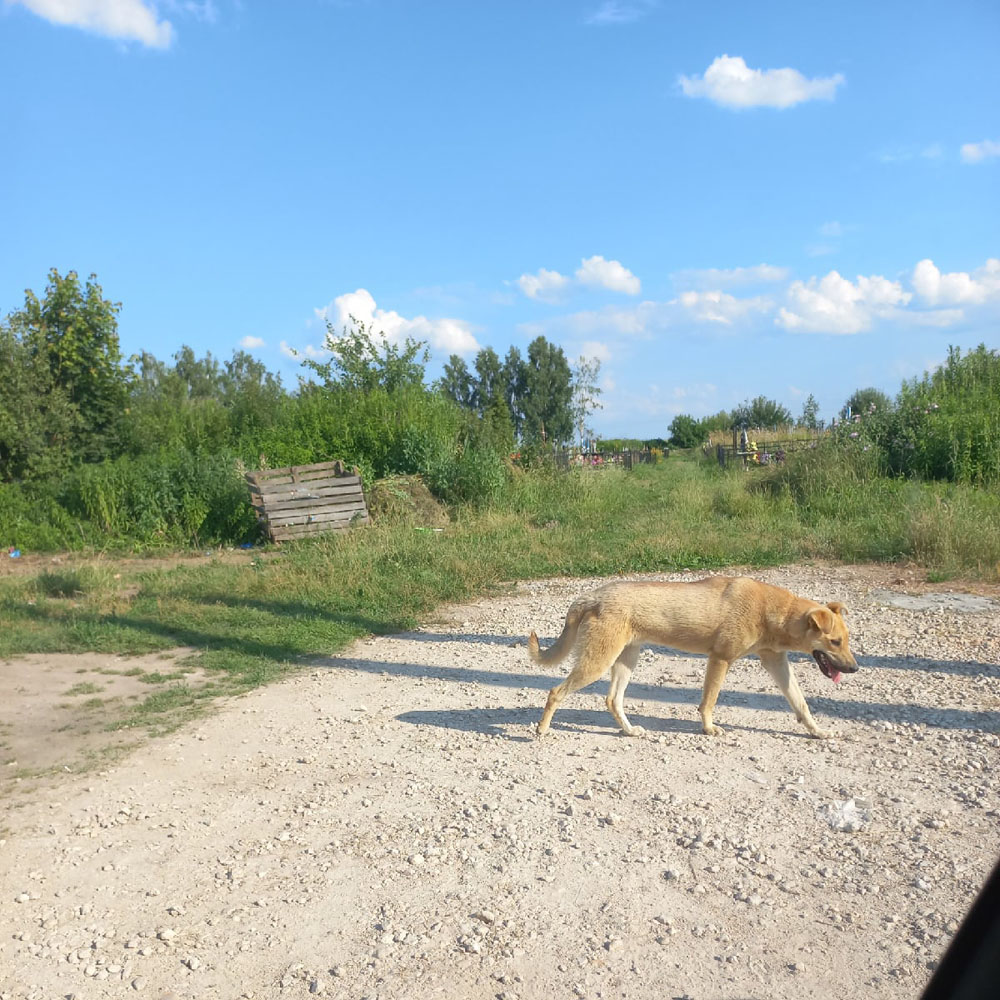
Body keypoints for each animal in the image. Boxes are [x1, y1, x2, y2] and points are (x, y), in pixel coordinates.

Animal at [532, 576, 860, 740]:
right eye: (835, 641)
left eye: (847, 640)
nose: (855, 668)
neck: (771, 611)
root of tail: (592, 596)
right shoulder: (720, 659)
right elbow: (709, 702)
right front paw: (709, 728)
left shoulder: (776, 661)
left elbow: (801, 703)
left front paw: (818, 731)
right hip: (597, 662)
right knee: (555, 691)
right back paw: (542, 730)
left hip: (625, 660)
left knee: (613, 699)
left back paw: (629, 730)